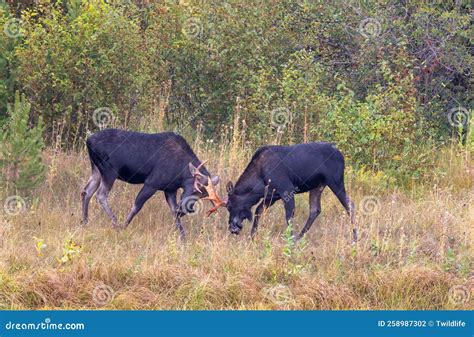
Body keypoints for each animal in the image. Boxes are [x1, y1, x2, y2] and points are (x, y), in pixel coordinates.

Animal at [206, 143, 358, 240]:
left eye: (230, 206)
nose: (232, 228)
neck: (258, 183)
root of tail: (342, 156)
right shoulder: (272, 196)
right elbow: (258, 211)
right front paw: (252, 236)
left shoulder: (286, 189)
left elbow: (288, 216)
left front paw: (288, 240)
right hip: (318, 186)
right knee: (315, 209)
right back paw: (299, 237)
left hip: (335, 182)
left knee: (350, 205)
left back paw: (355, 238)